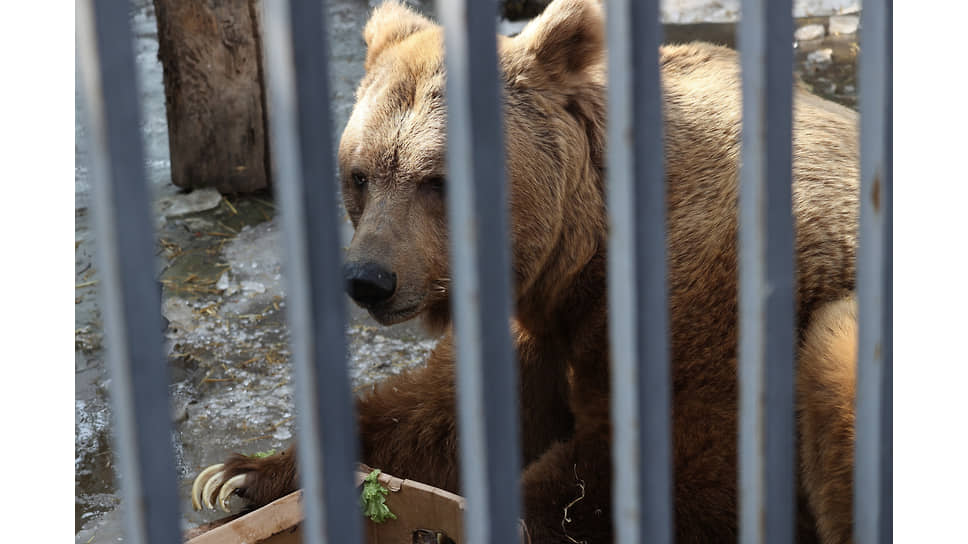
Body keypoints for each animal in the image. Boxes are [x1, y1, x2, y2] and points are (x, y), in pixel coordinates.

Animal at [193, 2, 860, 540]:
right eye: (360, 174)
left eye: (437, 180)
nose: (368, 279)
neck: (582, 248)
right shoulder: (541, 316)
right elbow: (449, 415)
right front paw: (235, 478)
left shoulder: (703, 298)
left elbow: (670, 468)